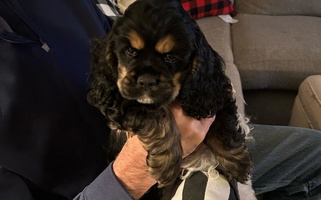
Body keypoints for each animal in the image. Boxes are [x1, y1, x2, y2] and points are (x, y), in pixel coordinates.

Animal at [87, 0, 252, 191]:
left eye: (170, 57)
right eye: (130, 51)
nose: (146, 80)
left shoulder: (213, 96)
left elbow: (223, 127)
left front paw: (237, 163)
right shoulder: (118, 100)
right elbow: (159, 115)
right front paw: (166, 163)